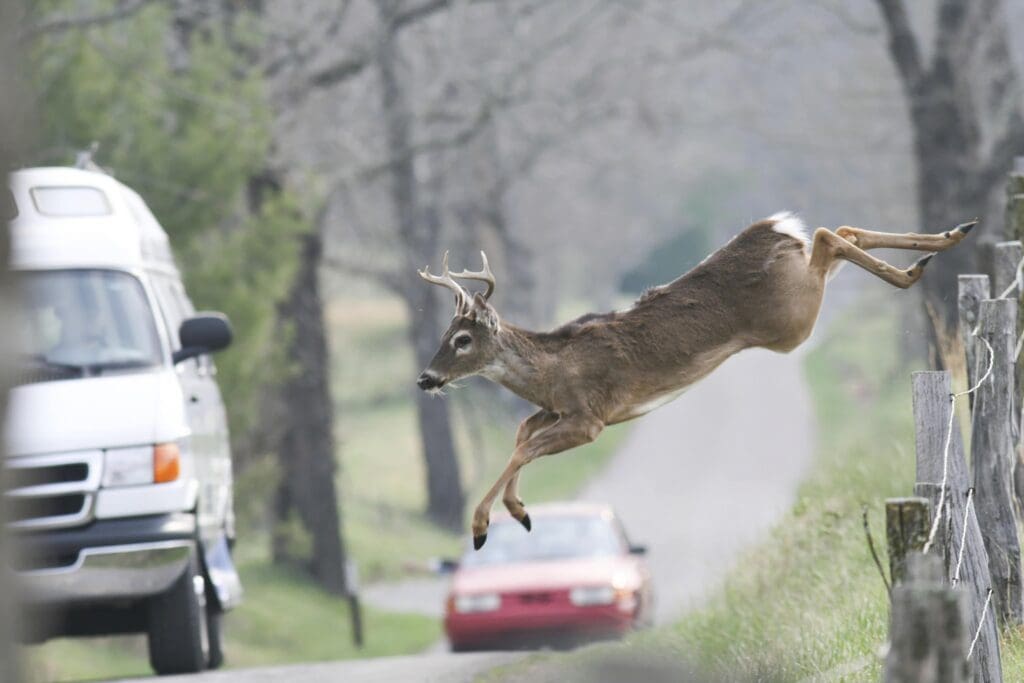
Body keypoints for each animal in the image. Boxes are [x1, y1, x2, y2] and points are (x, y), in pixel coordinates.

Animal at [415, 213, 976, 549]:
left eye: (461, 339)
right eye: (443, 334)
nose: (426, 378)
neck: (551, 370)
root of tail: (774, 229)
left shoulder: (590, 418)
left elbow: (523, 447)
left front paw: (483, 526)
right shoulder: (557, 411)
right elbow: (521, 434)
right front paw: (519, 510)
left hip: (793, 320)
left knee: (827, 235)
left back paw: (916, 267)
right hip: (799, 300)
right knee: (840, 231)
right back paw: (948, 239)